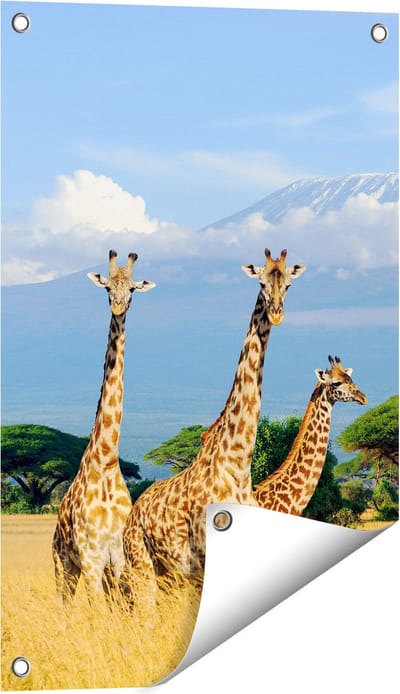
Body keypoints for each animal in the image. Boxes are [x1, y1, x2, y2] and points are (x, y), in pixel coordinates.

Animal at [52, 250, 155, 603]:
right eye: (108, 287)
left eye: (133, 289)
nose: (119, 306)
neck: (107, 459)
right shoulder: (91, 558)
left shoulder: (119, 558)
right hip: (63, 565)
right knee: (65, 606)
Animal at [121, 248, 306, 605]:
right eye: (261, 283)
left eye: (289, 285)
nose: (276, 314)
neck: (238, 461)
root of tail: (131, 516)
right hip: (143, 566)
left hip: (170, 575)